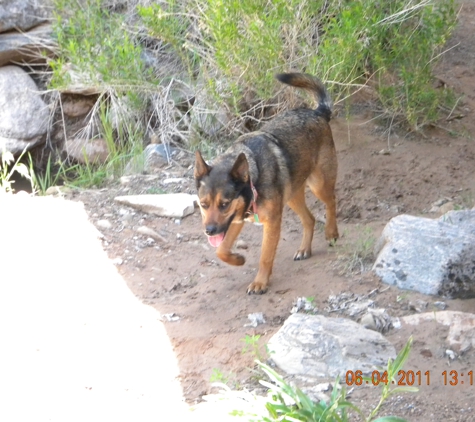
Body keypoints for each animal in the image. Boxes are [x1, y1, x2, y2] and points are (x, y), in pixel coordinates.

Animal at [195, 72, 340, 296]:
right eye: (203, 204)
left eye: (224, 204)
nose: (209, 231)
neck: (253, 181)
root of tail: (318, 112)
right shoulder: (236, 221)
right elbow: (221, 250)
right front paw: (238, 259)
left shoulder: (271, 222)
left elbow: (265, 256)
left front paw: (260, 283)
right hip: (292, 196)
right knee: (310, 219)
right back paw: (304, 249)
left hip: (319, 184)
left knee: (331, 201)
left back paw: (332, 232)